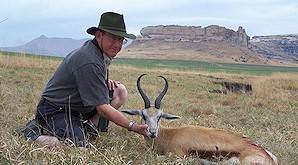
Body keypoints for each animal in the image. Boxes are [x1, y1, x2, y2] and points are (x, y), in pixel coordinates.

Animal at [122, 74, 278, 164]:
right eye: (143, 115)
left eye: (160, 116)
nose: (152, 132)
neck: (168, 136)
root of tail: (267, 155)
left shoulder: (178, 156)